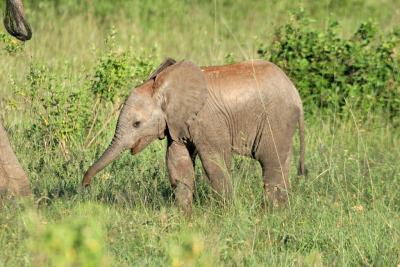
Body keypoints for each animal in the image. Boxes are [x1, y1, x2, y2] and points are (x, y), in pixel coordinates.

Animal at [82, 58, 306, 214]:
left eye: (136, 124)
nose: (85, 185)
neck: (165, 85)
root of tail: (296, 93)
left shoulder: (207, 120)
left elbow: (215, 163)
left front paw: (225, 215)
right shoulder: (175, 122)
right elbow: (177, 161)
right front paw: (185, 217)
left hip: (276, 118)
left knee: (271, 162)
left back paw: (271, 213)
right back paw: (283, 211)